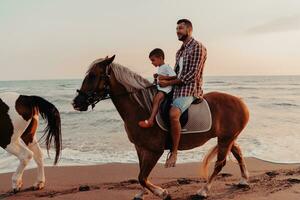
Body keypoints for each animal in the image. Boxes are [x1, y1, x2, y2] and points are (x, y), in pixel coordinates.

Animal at [73, 55, 251, 199]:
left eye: (93, 76)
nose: (76, 103)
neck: (142, 108)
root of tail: (240, 102)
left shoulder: (154, 150)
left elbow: (142, 176)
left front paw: (162, 192)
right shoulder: (140, 147)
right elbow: (141, 173)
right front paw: (142, 193)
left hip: (225, 139)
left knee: (220, 163)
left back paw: (203, 191)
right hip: (227, 138)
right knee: (238, 152)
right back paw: (243, 180)